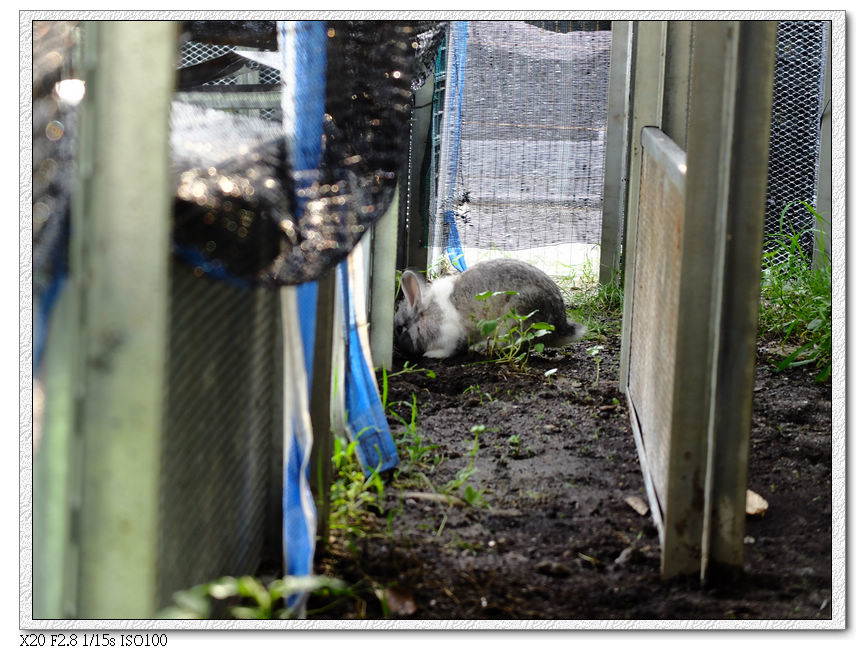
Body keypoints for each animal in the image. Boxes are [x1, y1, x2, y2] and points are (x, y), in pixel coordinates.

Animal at [394, 258, 588, 360]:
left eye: (399, 328)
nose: (398, 349)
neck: (427, 313)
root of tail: (560, 326)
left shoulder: (449, 335)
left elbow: (448, 350)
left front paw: (431, 355)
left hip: (517, 318)